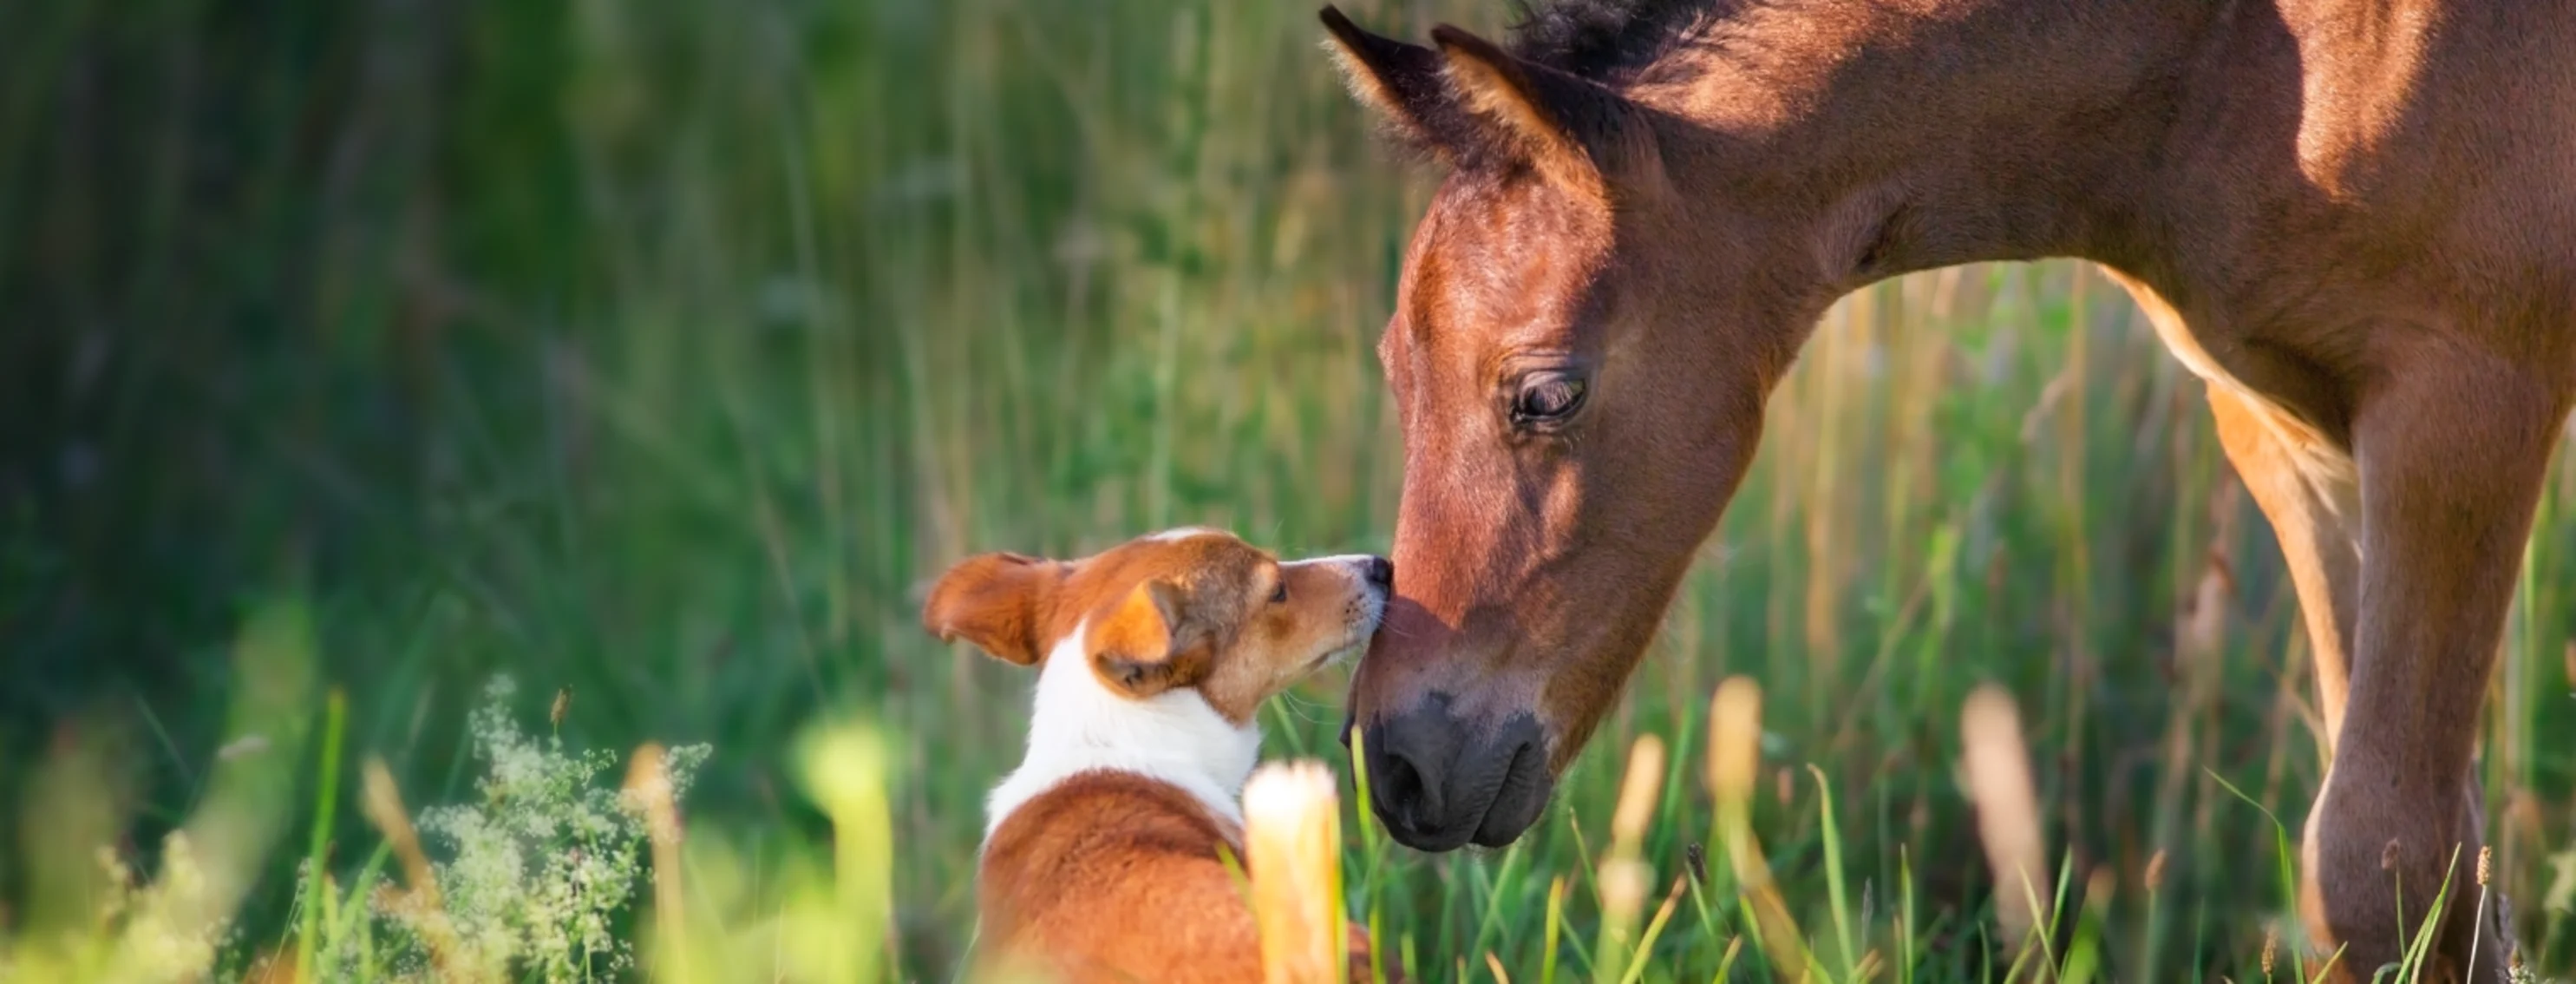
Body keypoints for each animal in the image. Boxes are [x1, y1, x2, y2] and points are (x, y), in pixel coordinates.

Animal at [1329, 0, 2576, 979]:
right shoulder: (2288, 433)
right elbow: (2427, 870)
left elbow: (2383, 860)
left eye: (1546, 393)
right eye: (1391, 367)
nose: (1399, 763)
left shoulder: (2461, 399)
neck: (2240, 64)